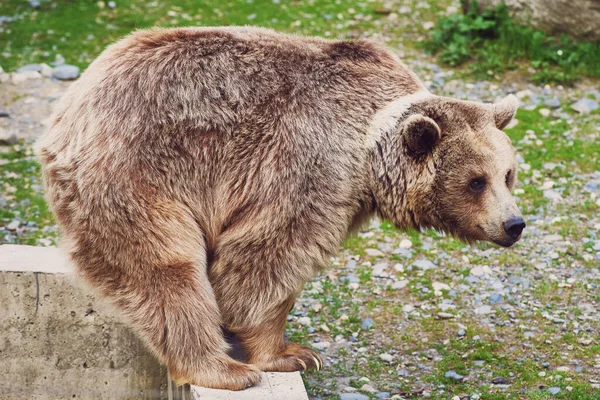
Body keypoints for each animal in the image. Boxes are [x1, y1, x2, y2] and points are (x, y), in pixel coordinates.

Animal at [37, 26, 524, 390]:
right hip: (137, 174)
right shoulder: (306, 164)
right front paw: (289, 354)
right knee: (165, 268)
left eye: (508, 174)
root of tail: (67, 113)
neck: (367, 147)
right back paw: (222, 369)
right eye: (475, 181)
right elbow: (267, 254)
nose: (514, 223)